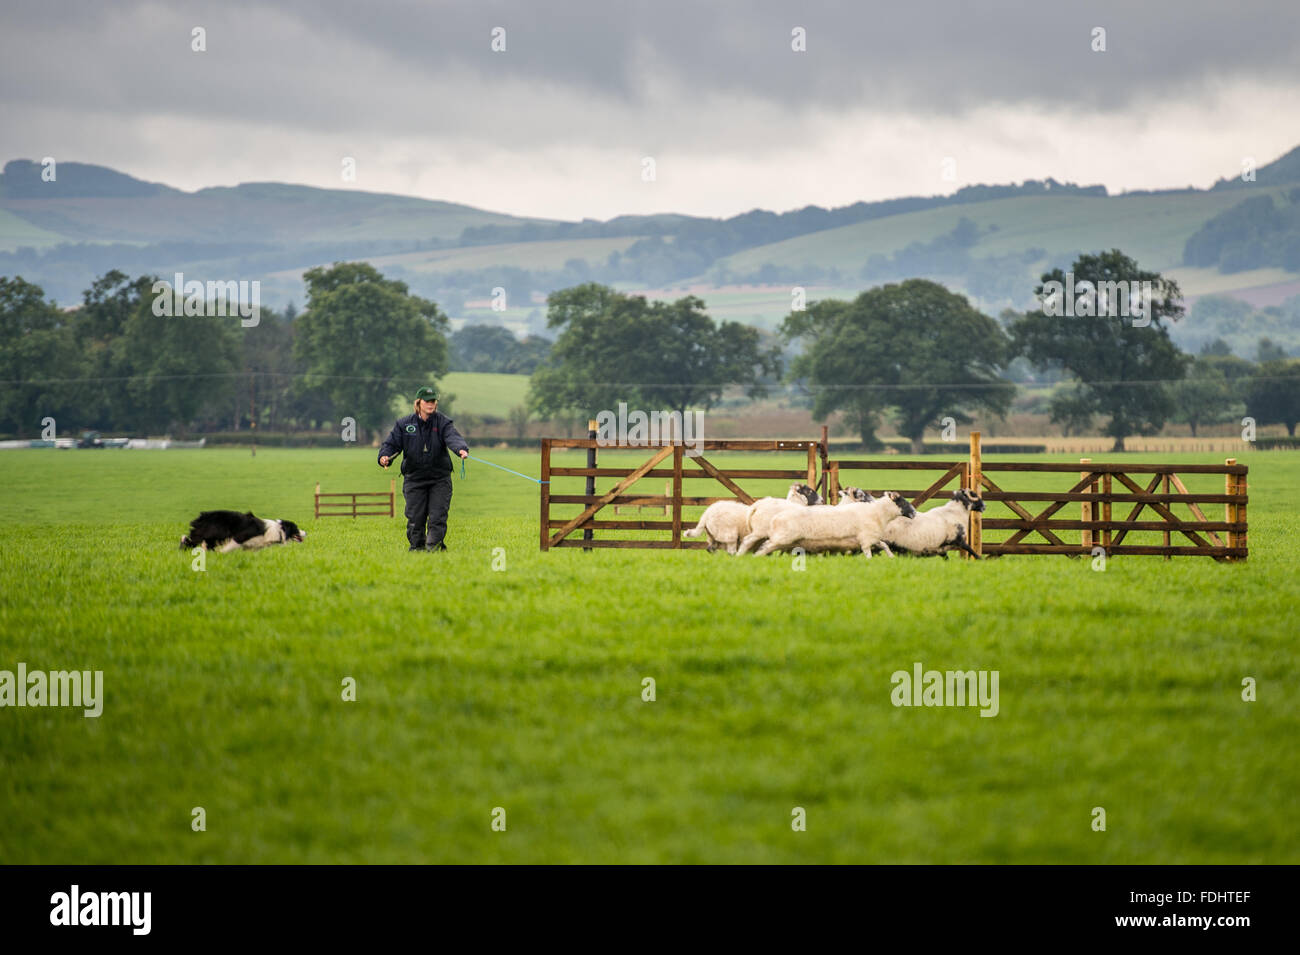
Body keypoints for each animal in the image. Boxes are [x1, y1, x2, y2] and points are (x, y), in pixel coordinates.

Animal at [754, 493, 915, 561]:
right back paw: (756, 556)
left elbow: (884, 546)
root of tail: (775, 518)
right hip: (782, 538)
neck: (878, 513)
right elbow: (869, 553)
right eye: (903, 502)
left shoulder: (872, 538)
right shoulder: (866, 540)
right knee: (765, 546)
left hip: (784, 541)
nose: (914, 513)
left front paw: (891, 557)